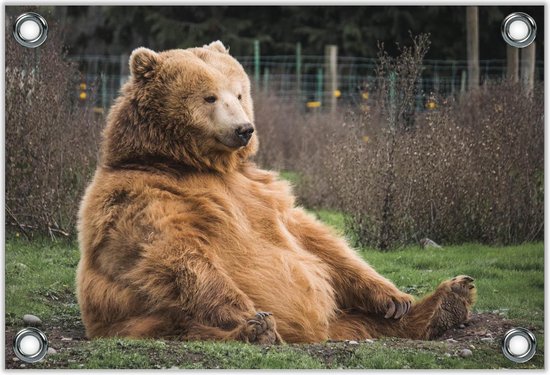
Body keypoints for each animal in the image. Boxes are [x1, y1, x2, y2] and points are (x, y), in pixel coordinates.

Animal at [75, 40, 476, 344]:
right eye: (209, 97)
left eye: (239, 93)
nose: (244, 129)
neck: (195, 164)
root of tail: (318, 332)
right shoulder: (143, 196)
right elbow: (174, 253)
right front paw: (248, 313)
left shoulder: (261, 192)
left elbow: (316, 239)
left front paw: (394, 298)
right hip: (141, 318)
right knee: (185, 323)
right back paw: (257, 330)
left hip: (343, 315)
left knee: (367, 320)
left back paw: (447, 300)